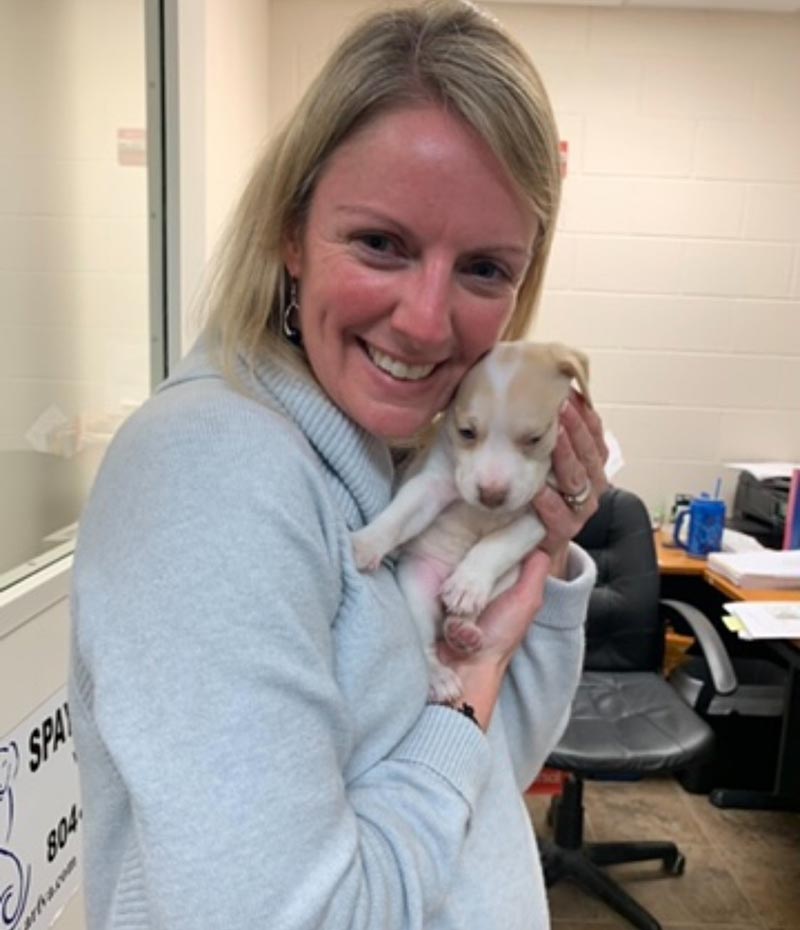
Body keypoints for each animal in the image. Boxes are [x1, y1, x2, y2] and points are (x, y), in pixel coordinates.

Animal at [354, 344, 592, 700]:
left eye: (535, 438)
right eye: (466, 432)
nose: (491, 495)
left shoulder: (539, 512)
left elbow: (496, 543)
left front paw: (467, 583)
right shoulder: (430, 486)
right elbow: (399, 516)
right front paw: (367, 542)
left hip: (507, 580)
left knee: (465, 614)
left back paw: (463, 629)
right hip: (417, 585)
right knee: (426, 644)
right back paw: (439, 675)